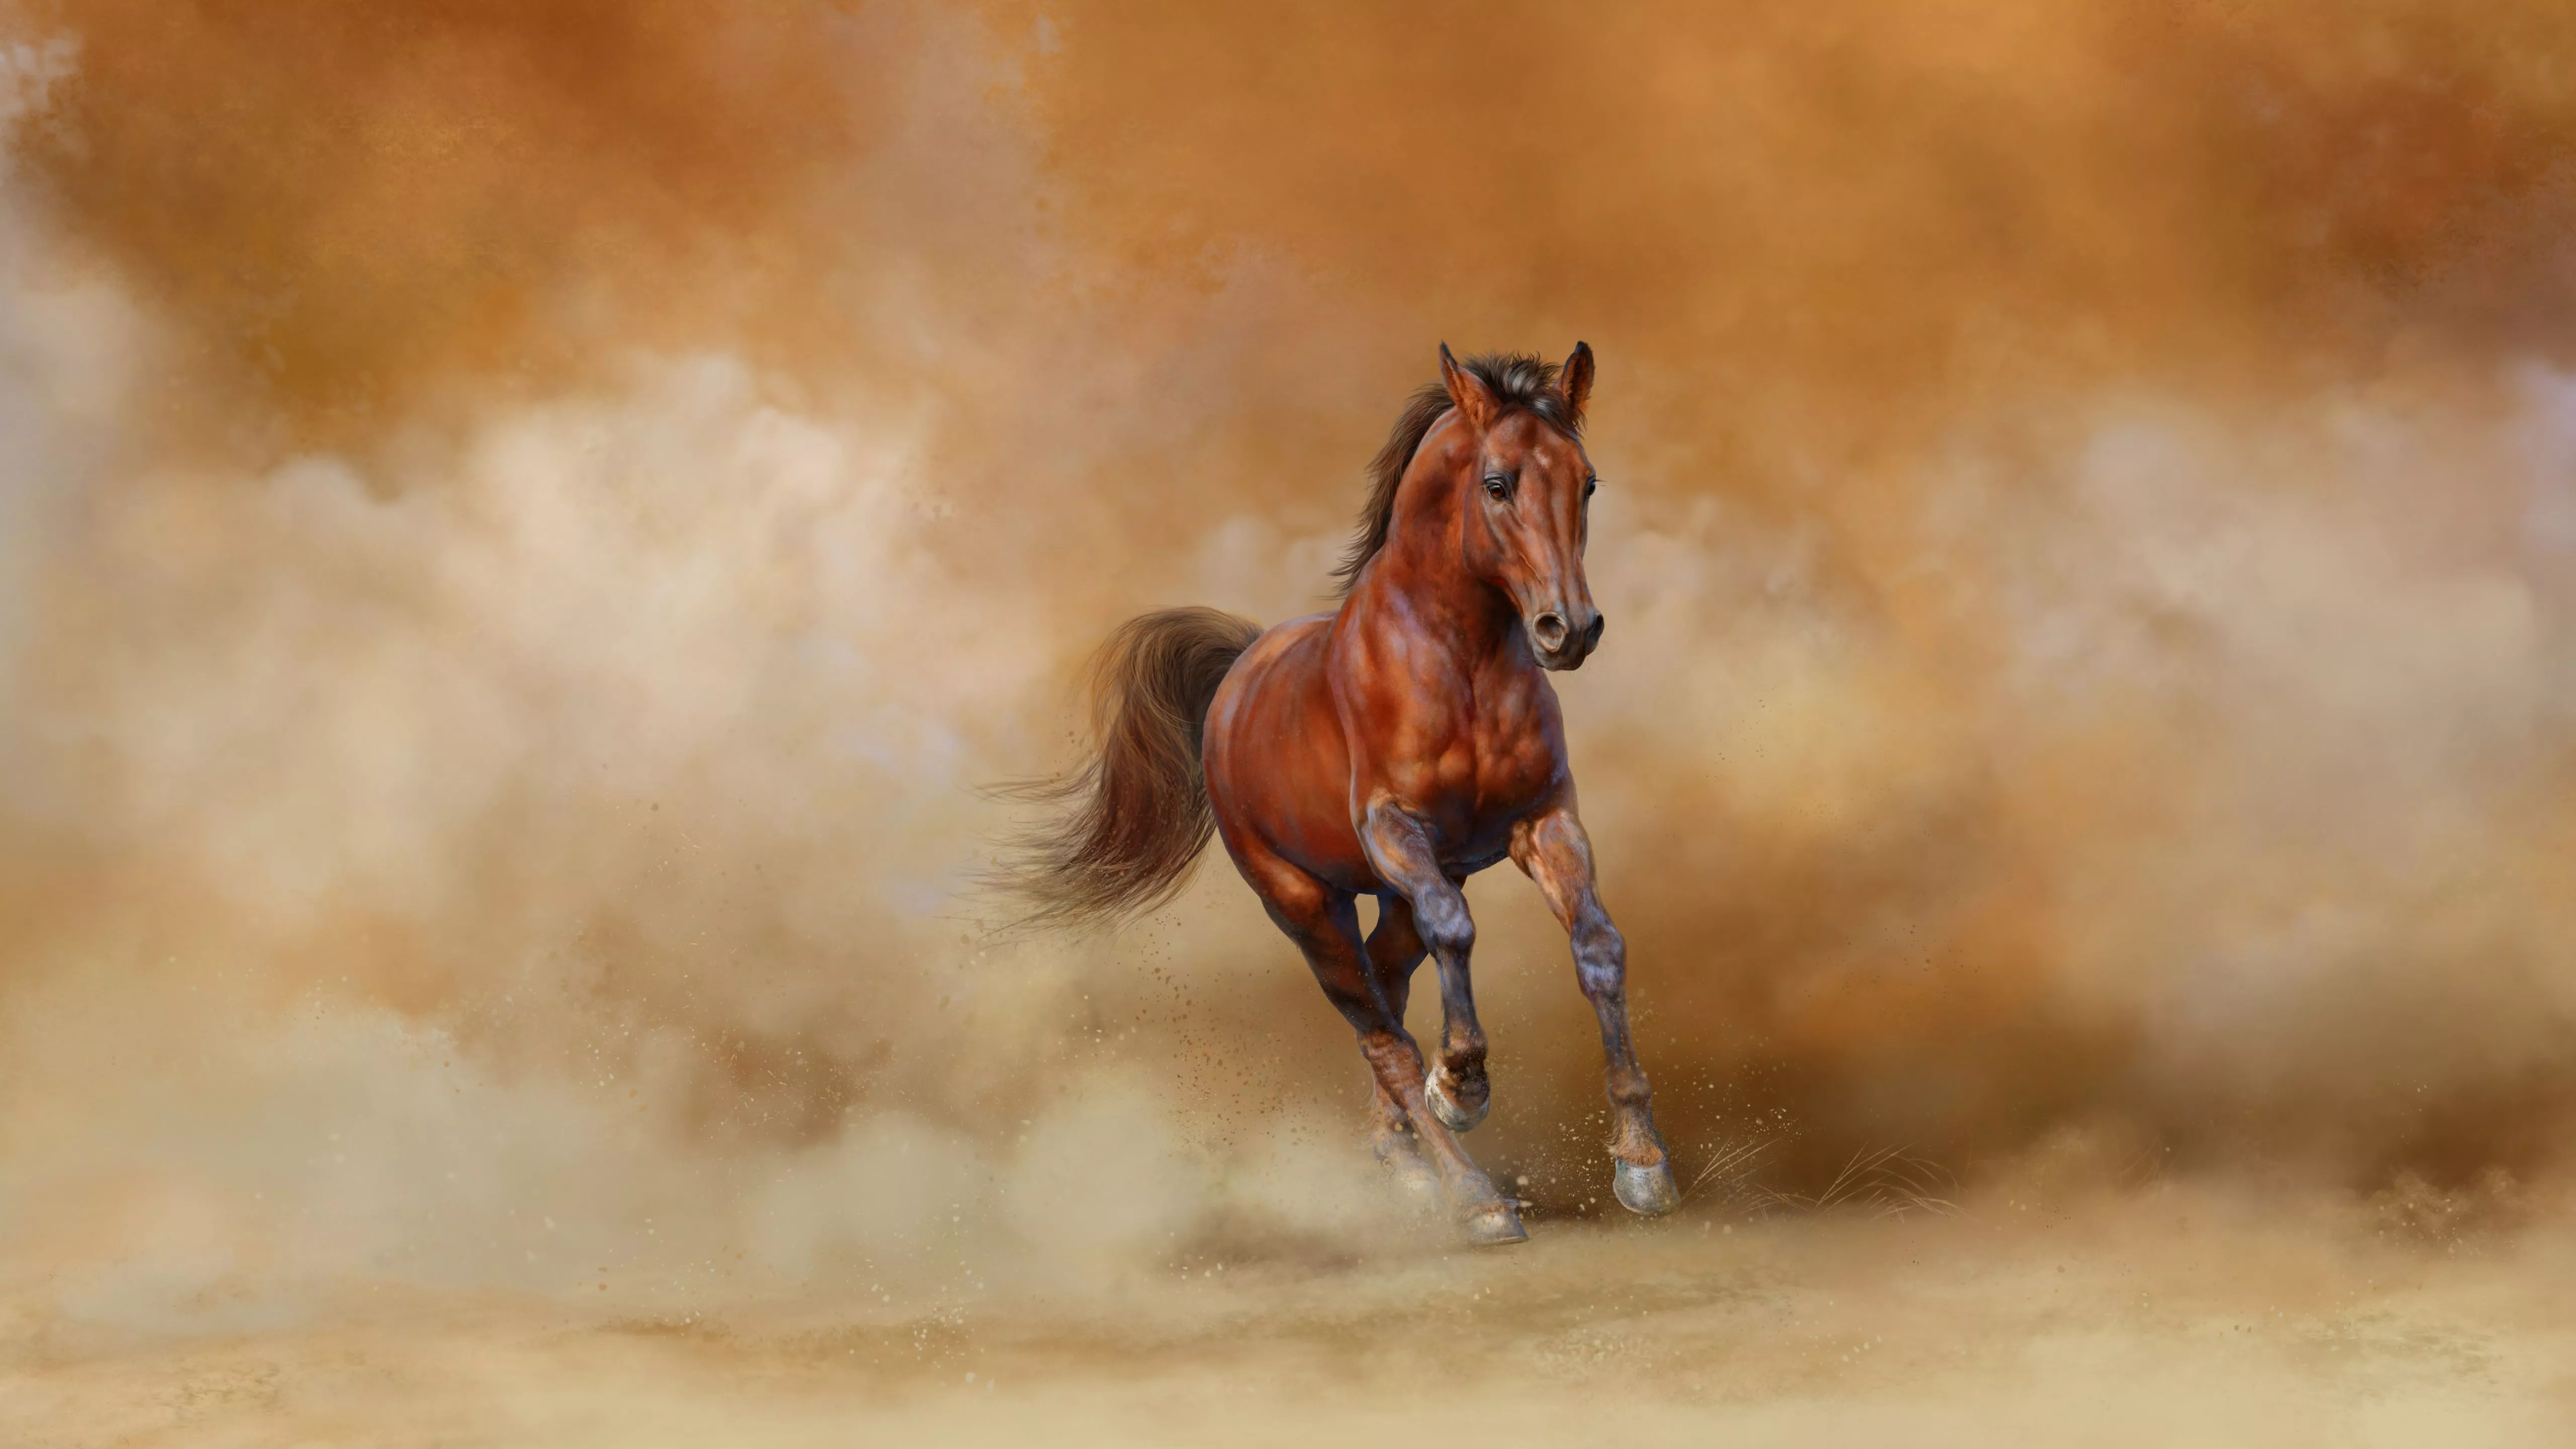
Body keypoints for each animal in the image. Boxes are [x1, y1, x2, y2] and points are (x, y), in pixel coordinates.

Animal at [1001, 344, 1676, 1245]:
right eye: (1498, 483)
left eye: (1588, 482)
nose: (1569, 630)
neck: (1461, 663)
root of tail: (1241, 672)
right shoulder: (1395, 830)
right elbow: (1455, 939)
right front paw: (1462, 1087)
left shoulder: (1545, 825)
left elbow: (1598, 946)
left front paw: (1643, 1164)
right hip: (1305, 904)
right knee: (1380, 1033)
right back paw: (1473, 1195)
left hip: (1388, 900)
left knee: (1389, 997)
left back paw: (1405, 1164)